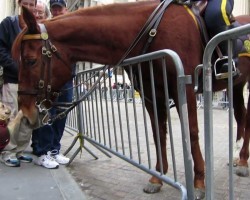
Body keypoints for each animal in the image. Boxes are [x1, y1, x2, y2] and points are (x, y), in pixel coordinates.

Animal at [11, 0, 250, 199]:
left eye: (30, 60)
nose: (27, 112)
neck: (152, 31)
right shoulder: (151, 93)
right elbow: (158, 133)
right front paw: (157, 177)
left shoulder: (186, 87)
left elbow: (191, 133)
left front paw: (199, 182)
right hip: (236, 86)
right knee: (242, 117)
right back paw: (240, 158)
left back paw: (242, 161)